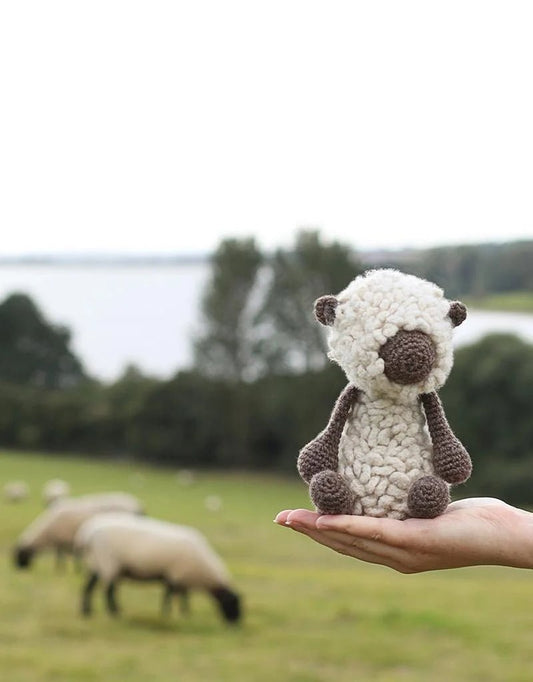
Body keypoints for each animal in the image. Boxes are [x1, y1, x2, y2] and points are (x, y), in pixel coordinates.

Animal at [13, 492, 144, 570]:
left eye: (20, 554)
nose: (20, 570)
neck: (47, 533)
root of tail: (138, 506)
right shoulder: (70, 540)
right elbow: (71, 556)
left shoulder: (64, 539)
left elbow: (63, 556)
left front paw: (61, 569)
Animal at [74, 513, 241, 624]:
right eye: (233, 603)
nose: (236, 624)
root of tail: (86, 534)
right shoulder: (176, 575)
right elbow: (169, 595)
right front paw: (166, 614)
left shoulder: (180, 576)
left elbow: (183, 596)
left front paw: (185, 613)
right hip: (109, 561)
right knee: (109, 590)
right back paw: (115, 613)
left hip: (95, 562)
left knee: (88, 587)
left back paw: (86, 611)